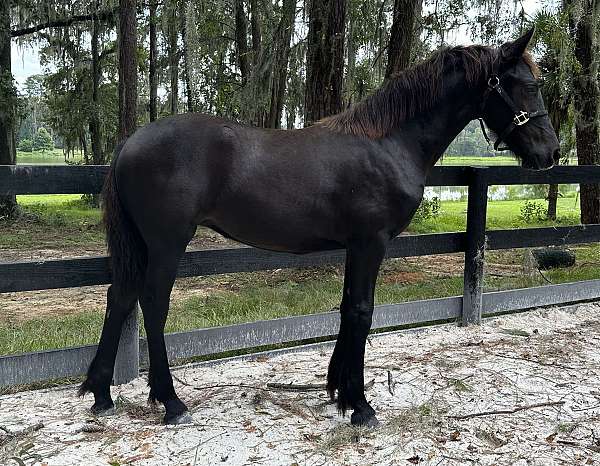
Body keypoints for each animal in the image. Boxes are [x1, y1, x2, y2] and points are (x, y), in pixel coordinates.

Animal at [78, 29, 556, 428]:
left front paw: (338, 392)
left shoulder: (354, 246)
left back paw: (101, 394)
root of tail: (130, 142)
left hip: (143, 246)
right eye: (528, 86)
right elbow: (361, 312)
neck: (387, 143)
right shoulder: (370, 243)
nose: (551, 152)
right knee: (152, 305)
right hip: (167, 242)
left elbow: (346, 310)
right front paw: (360, 405)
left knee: (120, 298)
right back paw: (171, 402)